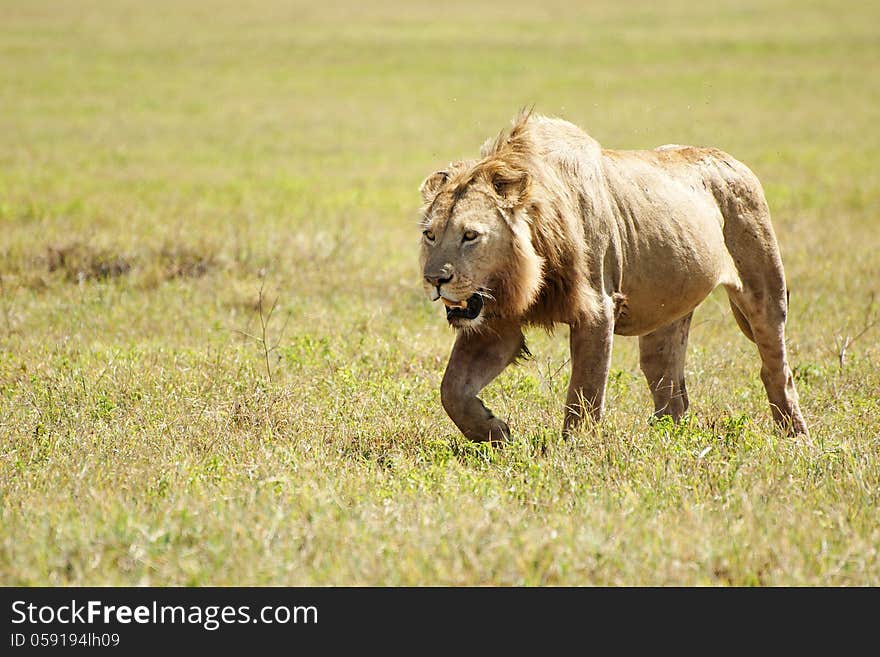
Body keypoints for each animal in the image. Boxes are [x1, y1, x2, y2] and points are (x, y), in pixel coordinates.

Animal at [416, 111, 808, 440]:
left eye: (470, 235)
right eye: (430, 235)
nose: (434, 280)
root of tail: (732, 160)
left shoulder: (597, 310)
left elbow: (585, 392)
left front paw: (576, 449)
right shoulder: (497, 321)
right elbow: (452, 390)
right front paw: (494, 432)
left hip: (764, 289)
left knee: (776, 368)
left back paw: (795, 436)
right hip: (666, 312)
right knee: (670, 385)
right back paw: (664, 440)